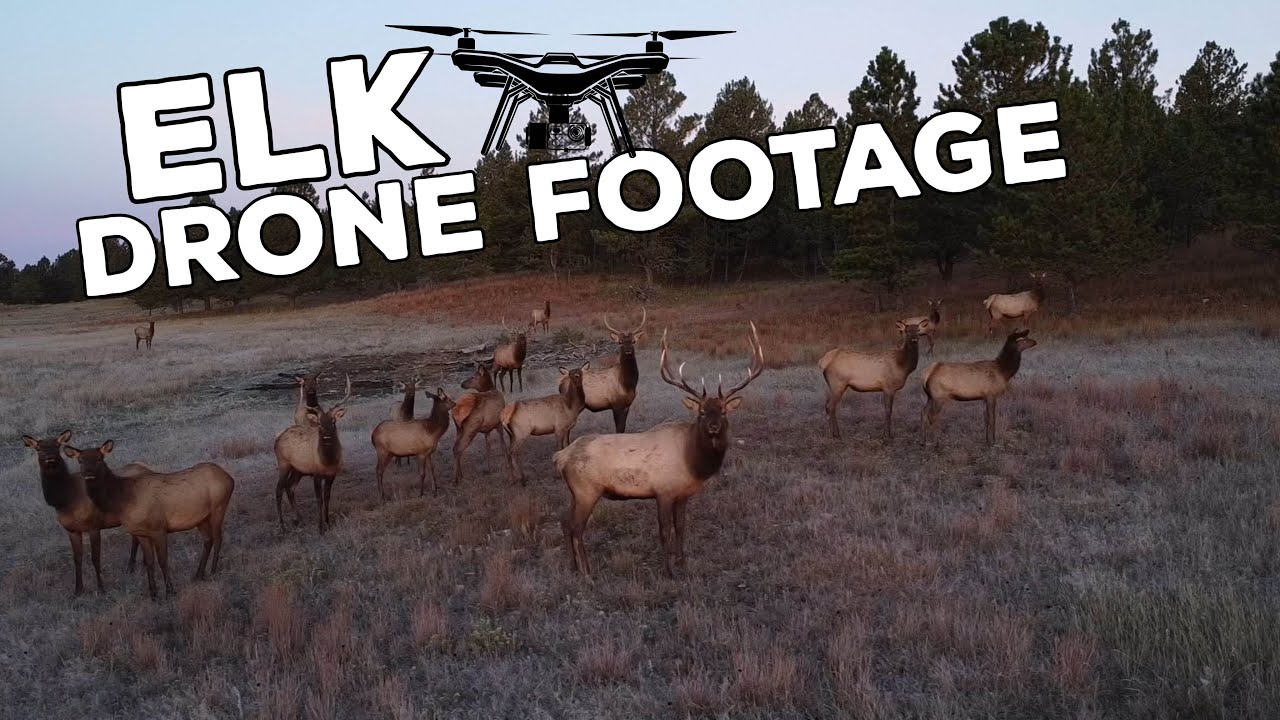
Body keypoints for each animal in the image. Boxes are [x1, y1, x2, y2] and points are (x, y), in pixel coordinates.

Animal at [20, 431, 141, 595]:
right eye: (38, 448)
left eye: (57, 446)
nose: (49, 457)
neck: (65, 499)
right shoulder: (71, 530)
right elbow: (77, 558)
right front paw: (78, 590)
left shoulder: (94, 525)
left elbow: (95, 558)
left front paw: (101, 589)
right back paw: (130, 567)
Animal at [64, 440, 235, 599]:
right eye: (80, 460)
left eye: (99, 458)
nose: (88, 472)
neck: (122, 500)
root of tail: (229, 478)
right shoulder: (141, 533)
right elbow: (149, 562)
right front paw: (153, 594)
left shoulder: (159, 527)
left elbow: (163, 560)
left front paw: (170, 591)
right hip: (201, 518)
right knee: (208, 539)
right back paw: (198, 574)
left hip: (219, 506)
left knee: (218, 537)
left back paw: (213, 571)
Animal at [274, 374, 352, 534]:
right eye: (319, 423)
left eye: (333, 421)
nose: (327, 437)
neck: (327, 461)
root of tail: (277, 439)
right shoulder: (316, 473)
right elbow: (319, 499)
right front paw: (320, 527)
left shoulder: (332, 474)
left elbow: (327, 497)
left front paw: (328, 522)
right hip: (283, 463)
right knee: (278, 489)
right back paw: (282, 525)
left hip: (298, 470)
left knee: (290, 487)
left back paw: (299, 519)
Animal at [554, 322, 765, 578]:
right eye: (702, 412)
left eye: (724, 411)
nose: (713, 426)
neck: (693, 462)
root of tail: (560, 457)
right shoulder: (663, 491)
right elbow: (664, 531)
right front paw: (668, 570)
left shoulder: (683, 493)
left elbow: (681, 527)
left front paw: (682, 562)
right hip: (587, 490)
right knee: (576, 527)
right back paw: (587, 571)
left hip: (575, 492)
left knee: (565, 522)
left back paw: (572, 567)